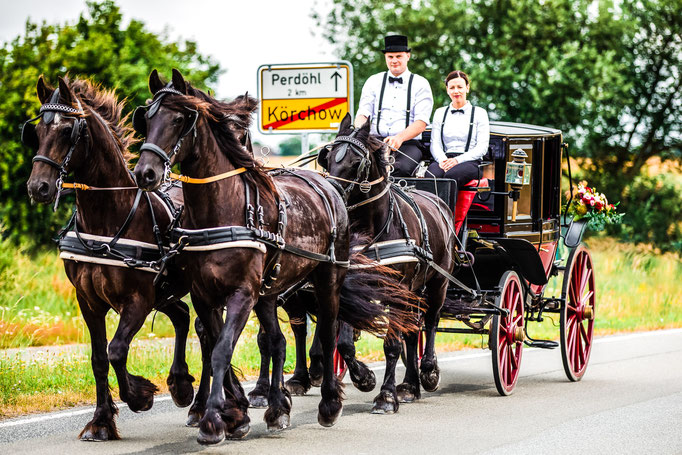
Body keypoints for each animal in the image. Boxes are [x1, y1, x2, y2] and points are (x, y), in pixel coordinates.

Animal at [24, 76, 194, 440]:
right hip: (166, 293)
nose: (38, 187)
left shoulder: (138, 299)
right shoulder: (88, 301)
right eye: (37, 131)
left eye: (68, 130)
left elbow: (116, 350)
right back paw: (182, 385)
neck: (108, 219)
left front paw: (140, 395)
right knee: (184, 317)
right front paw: (101, 421)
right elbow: (99, 358)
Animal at [130, 70, 412, 446]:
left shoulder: (242, 293)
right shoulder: (206, 296)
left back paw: (330, 402)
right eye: (146, 118)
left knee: (328, 333)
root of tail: (329, 187)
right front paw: (234, 413)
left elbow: (222, 350)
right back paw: (279, 407)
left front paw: (214, 421)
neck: (222, 209)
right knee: (277, 340)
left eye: (180, 119)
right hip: (269, 291)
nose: (144, 173)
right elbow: (219, 345)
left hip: (327, 279)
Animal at [318, 113, 456, 414]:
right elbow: (345, 343)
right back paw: (410, 386)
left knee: (431, 321)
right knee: (413, 330)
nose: (330, 192)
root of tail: (439, 203)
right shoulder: (354, 286)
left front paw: (386, 396)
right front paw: (365, 378)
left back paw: (428, 372)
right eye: (328, 156)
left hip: (438, 283)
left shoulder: (397, 289)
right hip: (414, 291)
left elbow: (392, 344)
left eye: (356, 162)